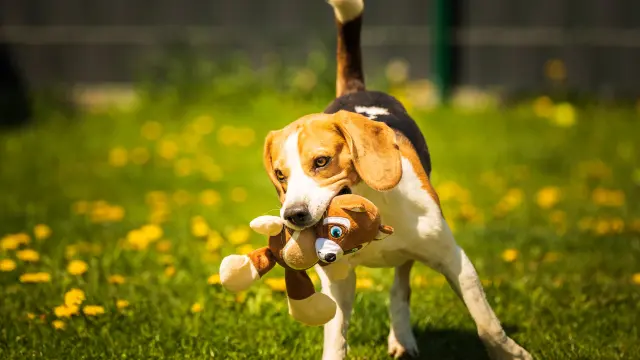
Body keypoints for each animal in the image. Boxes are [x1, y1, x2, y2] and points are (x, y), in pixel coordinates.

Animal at [262, 1, 536, 358]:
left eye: (321, 162)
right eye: (281, 175)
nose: (293, 215)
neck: (373, 207)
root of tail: (358, 91)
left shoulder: (455, 260)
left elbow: (486, 323)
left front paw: (510, 352)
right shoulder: (337, 281)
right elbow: (336, 337)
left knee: (400, 289)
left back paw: (402, 337)